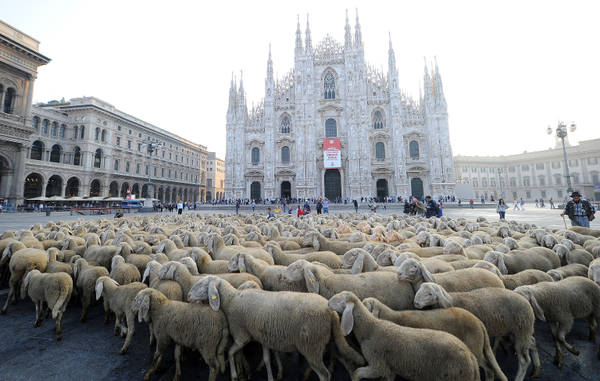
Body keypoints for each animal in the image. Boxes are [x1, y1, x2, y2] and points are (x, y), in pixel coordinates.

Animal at [188, 276, 366, 380]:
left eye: (202, 285)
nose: (188, 296)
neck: (231, 300)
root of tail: (330, 311)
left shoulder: (242, 336)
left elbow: (231, 352)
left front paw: (234, 375)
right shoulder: (263, 337)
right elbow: (267, 359)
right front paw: (272, 376)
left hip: (311, 345)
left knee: (324, 375)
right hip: (327, 342)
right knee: (345, 360)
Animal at [328, 290, 478, 380]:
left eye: (340, 300)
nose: (328, 302)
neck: (370, 329)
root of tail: (470, 356)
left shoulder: (378, 364)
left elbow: (357, 372)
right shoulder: (389, 370)